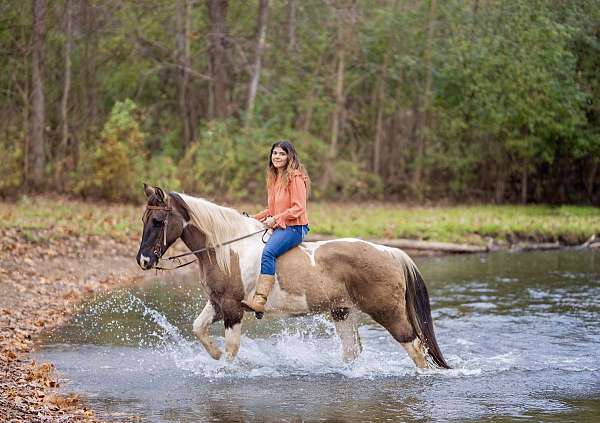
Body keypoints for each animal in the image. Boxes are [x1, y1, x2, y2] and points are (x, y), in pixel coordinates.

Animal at [135, 187, 446, 370]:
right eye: (144, 220)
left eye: (158, 221)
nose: (144, 260)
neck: (227, 248)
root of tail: (390, 252)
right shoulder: (218, 304)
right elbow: (198, 329)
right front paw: (215, 356)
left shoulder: (233, 309)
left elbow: (232, 347)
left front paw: (226, 368)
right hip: (343, 312)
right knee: (353, 351)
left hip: (388, 313)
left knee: (415, 348)